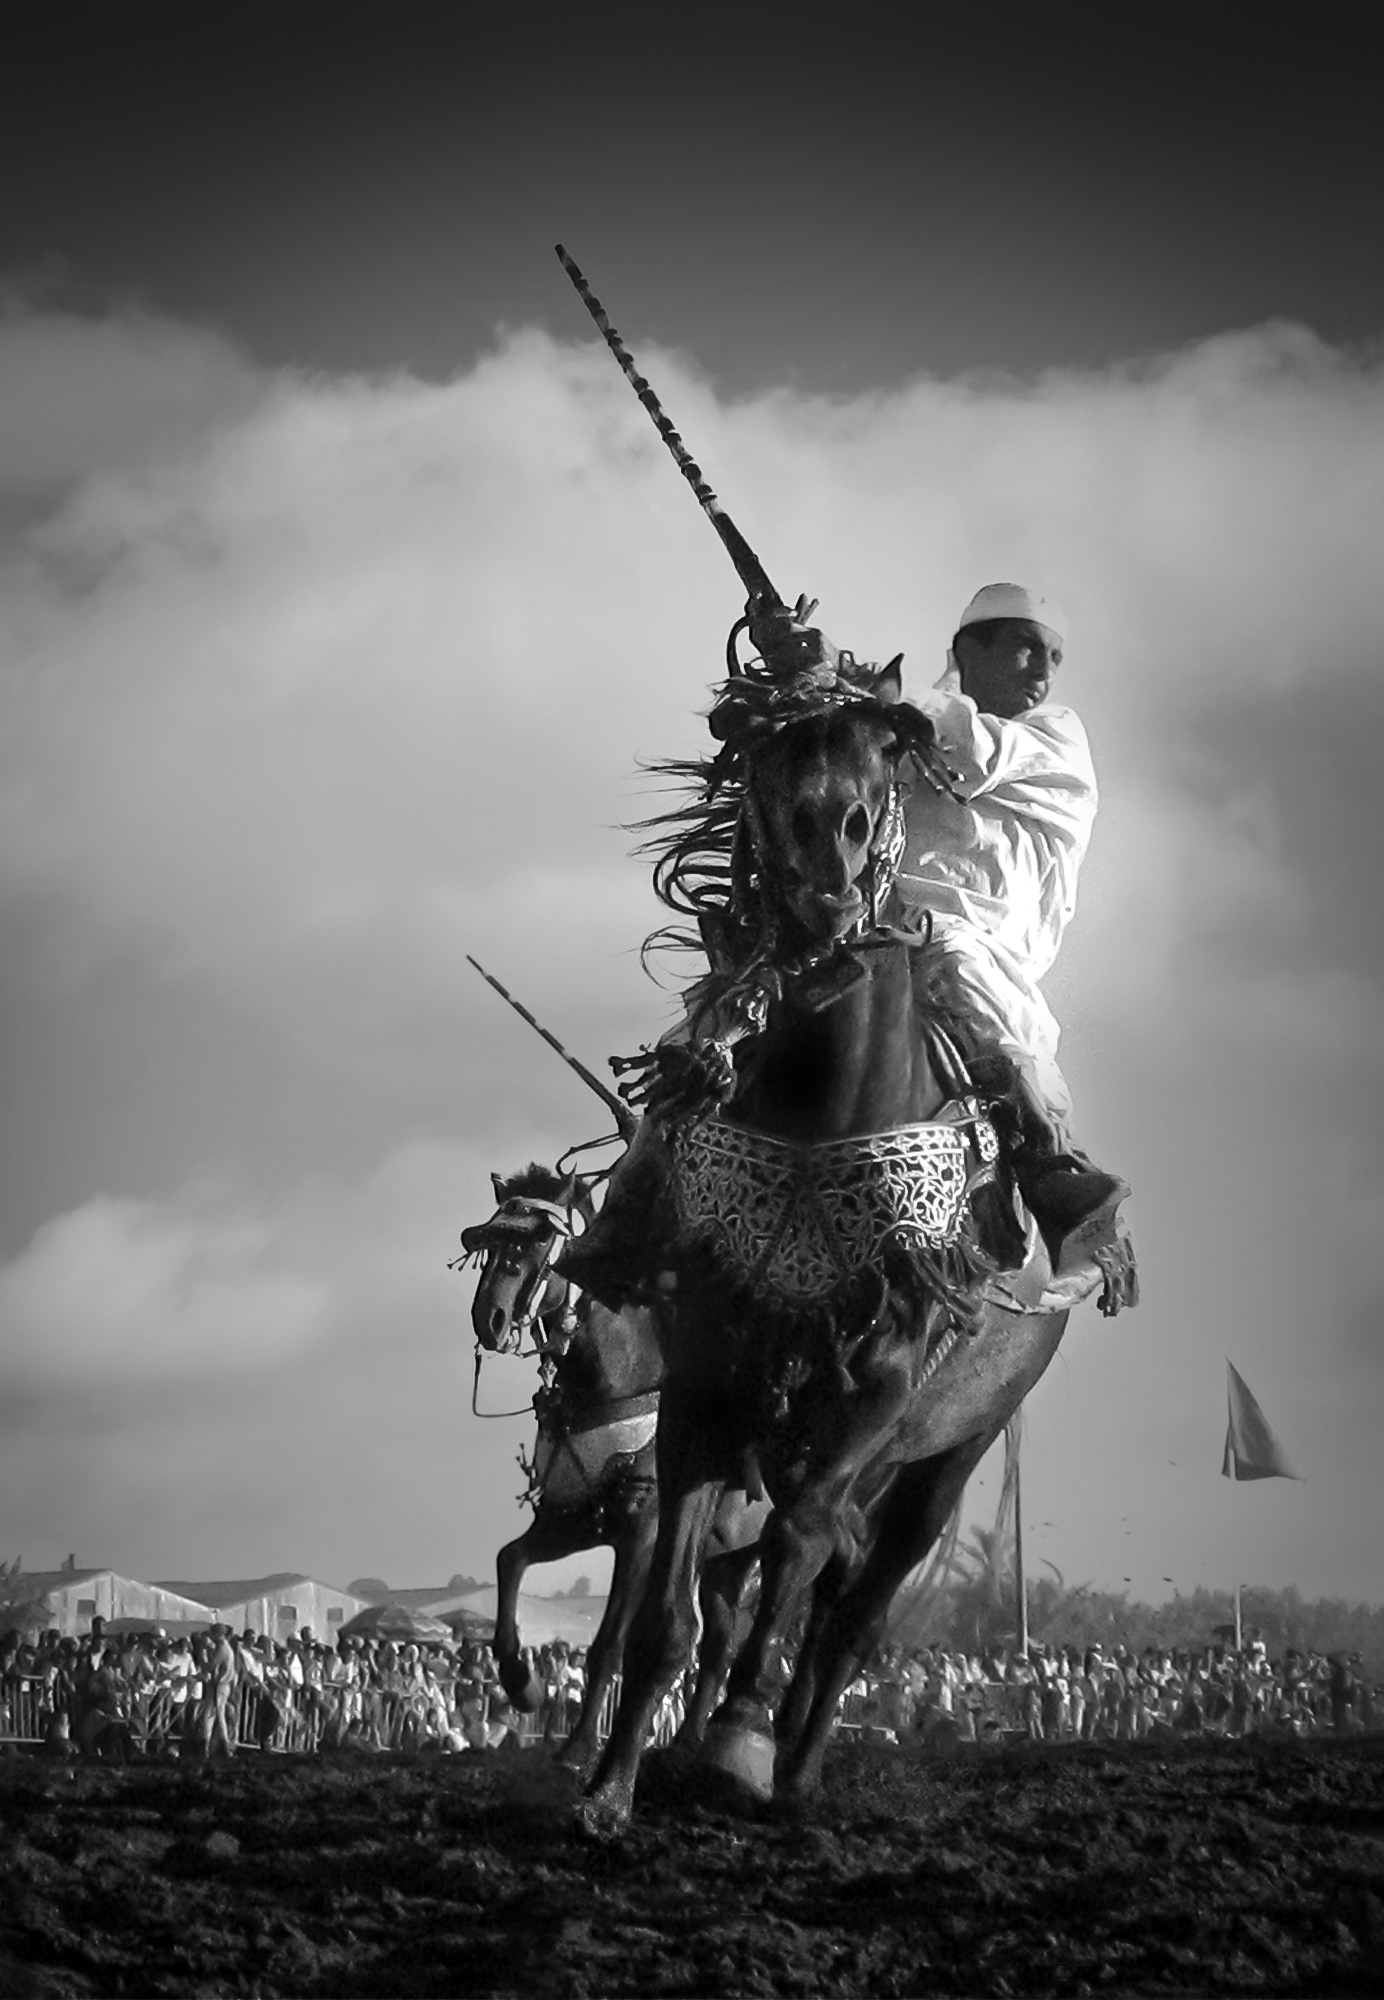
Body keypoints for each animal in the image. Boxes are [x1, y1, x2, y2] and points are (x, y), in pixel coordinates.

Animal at [458, 1162, 766, 1773]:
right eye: (487, 1241)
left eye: (540, 1239)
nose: (489, 1318)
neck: (611, 1382)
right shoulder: (572, 1519)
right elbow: (510, 1561)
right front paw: (523, 1683)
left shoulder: (641, 1534)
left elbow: (609, 1646)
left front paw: (579, 1746)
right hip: (722, 1561)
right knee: (718, 1640)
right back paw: (688, 1741)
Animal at [576, 655, 1133, 1827]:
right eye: (769, 755)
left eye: (884, 754)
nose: (831, 857)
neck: (819, 1106)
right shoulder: (709, 1375)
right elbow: (671, 1612)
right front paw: (610, 1786)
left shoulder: (879, 1380)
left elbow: (797, 1540)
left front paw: (737, 1741)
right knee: (820, 1574)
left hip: (948, 1456)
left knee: (853, 1604)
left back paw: (792, 1762)